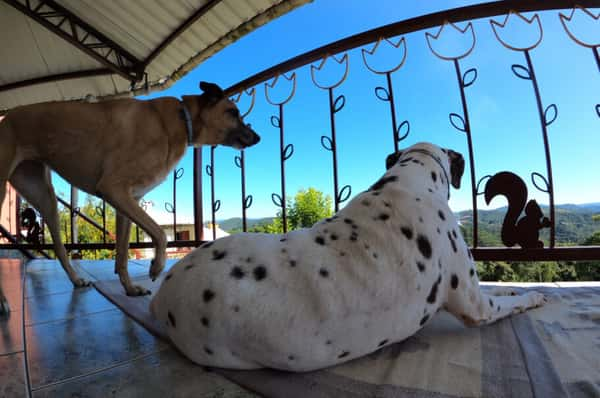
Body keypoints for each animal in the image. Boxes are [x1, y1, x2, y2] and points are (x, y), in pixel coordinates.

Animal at [1, 81, 262, 314]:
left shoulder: (127, 201)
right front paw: (156, 267)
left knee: (60, 247)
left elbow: (123, 253)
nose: (258, 137)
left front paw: (130, 288)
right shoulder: (113, 188)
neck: (181, 119)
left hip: (45, 197)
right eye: (233, 112)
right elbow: (160, 235)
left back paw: (76, 280)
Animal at [149, 141, 544, 372]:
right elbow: (512, 303)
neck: (408, 181)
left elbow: (503, 290)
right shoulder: (476, 306)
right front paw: (533, 297)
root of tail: (163, 293)